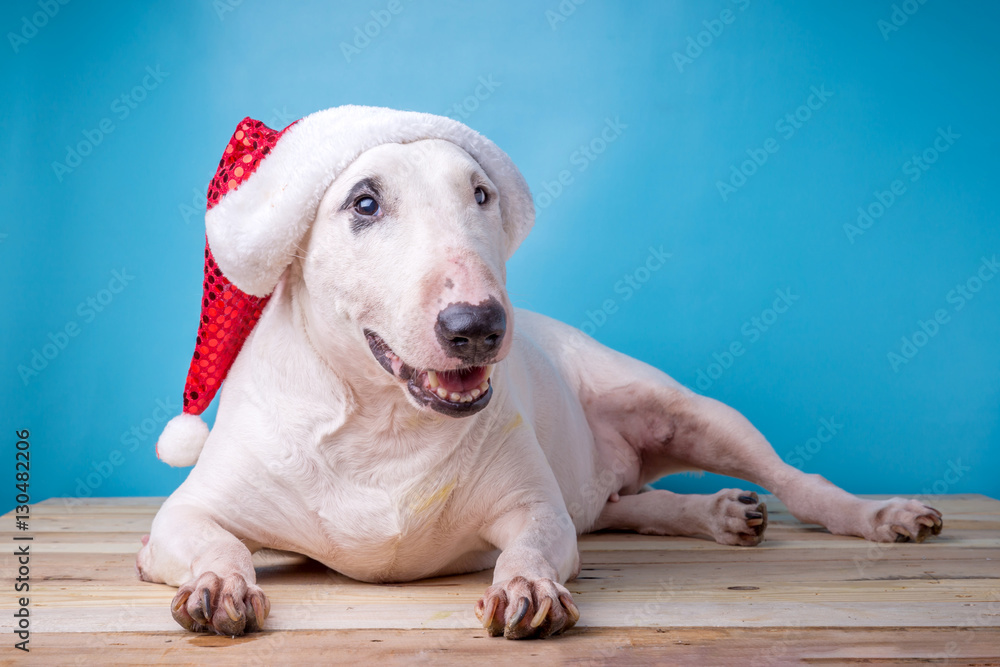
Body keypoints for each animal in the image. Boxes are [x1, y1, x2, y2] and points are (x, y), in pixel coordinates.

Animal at [137, 107, 940, 640]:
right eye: (364, 202)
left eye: (481, 194)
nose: (480, 326)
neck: (382, 424)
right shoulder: (183, 516)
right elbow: (212, 538)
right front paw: (217, 581)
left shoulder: (535, 508)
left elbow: (528, 543)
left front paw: (528, 586)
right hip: (606, 485)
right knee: (622, 505)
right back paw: (715, 513)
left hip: (686, 410)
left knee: (797, 481)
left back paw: (879, 514)